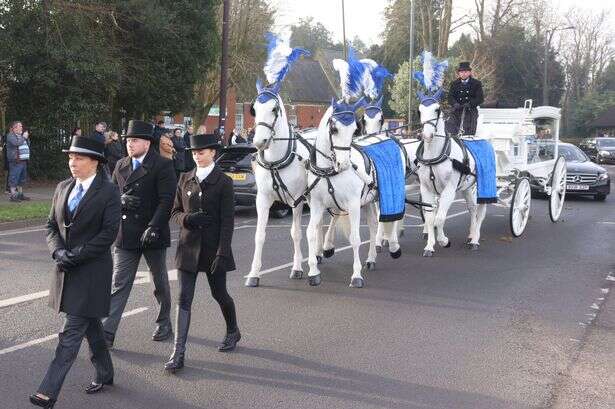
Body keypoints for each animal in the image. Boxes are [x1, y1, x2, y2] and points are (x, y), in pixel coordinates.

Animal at [306, 99, 402, 286]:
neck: (329, 171)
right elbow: (311, 232)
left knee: (391, 218)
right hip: (369, 201)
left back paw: (393, 245)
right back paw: (371, 258)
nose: (343, 164)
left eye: (353, 130)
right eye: (334, 129)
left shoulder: (353, 204)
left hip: (388, 193)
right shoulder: (317, 204)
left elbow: (355, 239)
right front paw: (313, 272)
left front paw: (356, 276)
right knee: (373, 225)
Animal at [416, 92, 488, 256]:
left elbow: (440, 218)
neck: (435, 154)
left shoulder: (449, 190)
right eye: (419, 111)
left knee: (480, 212)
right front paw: (429, 246)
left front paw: (443, 241)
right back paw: (471, 234)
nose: (427, 135)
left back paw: (475, 239)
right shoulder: (426, 189)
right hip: (467, 187)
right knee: (472, 208)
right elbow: (430, 218)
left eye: (437, 109)